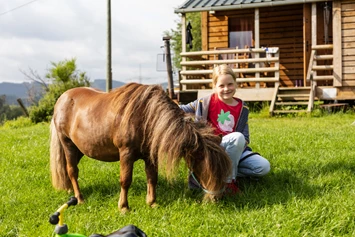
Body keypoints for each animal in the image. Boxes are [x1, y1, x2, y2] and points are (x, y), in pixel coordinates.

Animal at [51, 83, 232, 211]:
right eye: (204, 164)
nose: (216, 198)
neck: (146, 117)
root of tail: (62, 98)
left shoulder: (150, 156)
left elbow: (152, 178)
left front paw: (152, 203)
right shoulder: (126, 154)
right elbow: (125, 180)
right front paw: (124, 207)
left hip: (79, 149)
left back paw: (70, 191)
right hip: (68, 144)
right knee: (72, 171)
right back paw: (80, 198)